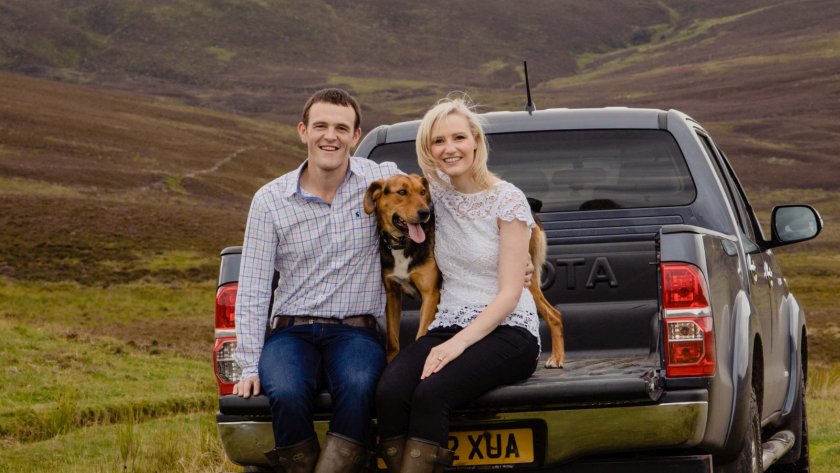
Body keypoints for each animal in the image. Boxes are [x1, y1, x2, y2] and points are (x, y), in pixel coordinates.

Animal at [364, 174, 568, 368]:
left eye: (422, 192)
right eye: (402, 192)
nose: (425, 213)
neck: (403, 245)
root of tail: (531, 210)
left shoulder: (430, 295)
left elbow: (420, 335)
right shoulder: (392, 294)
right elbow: (392, 342)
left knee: (554, 315)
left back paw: (557, 358)